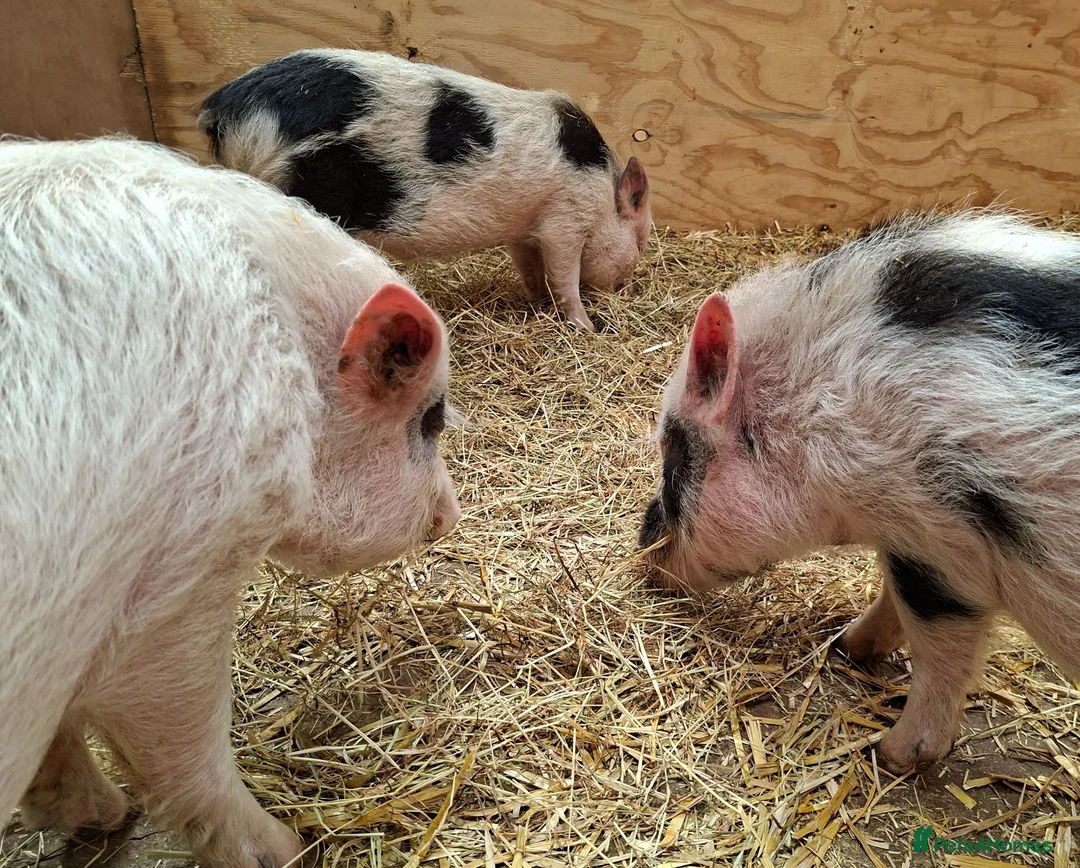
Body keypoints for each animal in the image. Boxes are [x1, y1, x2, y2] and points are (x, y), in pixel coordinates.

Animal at [0, 136, 461, 868]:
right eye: (432, 417)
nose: (453, 514)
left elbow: (61, 740)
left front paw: (105, 817)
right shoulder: (176, 588)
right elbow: (184, 740)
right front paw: (284, 847)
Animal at [196, 48, 652, 332]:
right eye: (643, 239)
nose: (627, 288)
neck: (602, 190)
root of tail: (226, 108)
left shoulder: (526, 229)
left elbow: (530, 268)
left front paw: (537, 305)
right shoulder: (565, 220)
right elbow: (565, 276)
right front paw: (586, 326)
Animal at [638, 210, 1080, 775]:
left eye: (675, 457)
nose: (642, 553)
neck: (820, 417)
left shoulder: (941, 544)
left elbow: (939, 642)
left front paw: (893, 754)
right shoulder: (903, 537)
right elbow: (891, 597)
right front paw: (846, 645)